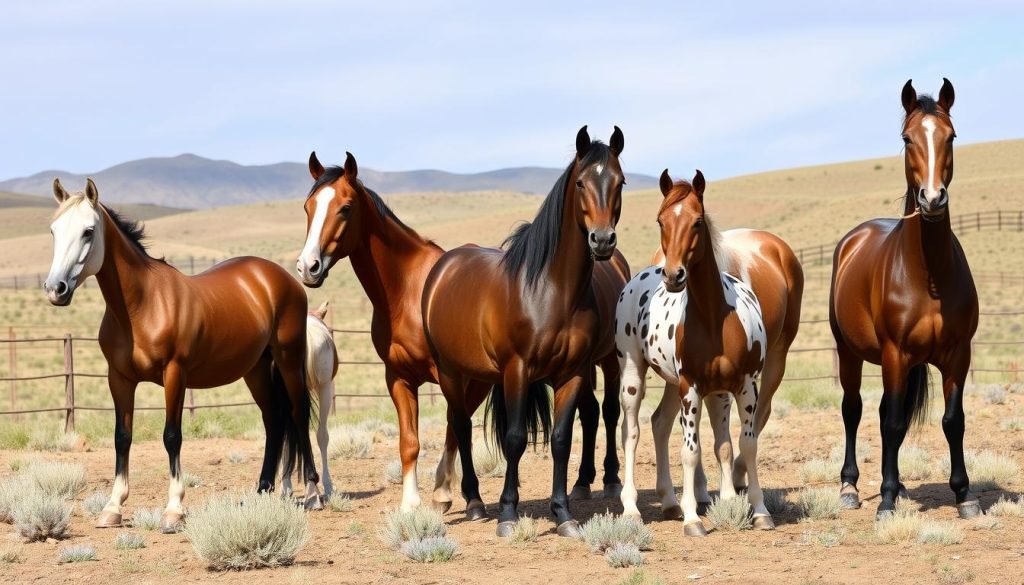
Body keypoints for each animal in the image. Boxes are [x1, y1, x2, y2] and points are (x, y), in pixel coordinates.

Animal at [43, 179, 322, 532]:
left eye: (88, 232)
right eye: (54, 230)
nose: (56, 289)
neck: (142, 306)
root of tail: (282, 277)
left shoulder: (174, 374)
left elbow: (172, 436)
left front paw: (174, 509)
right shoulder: (119, 378)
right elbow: (122, 437)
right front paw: (112, 507)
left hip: (288, 358)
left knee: (298, 413)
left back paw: (313, 493)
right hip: (256, 369)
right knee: (273, 420)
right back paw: (262, 490)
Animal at [295, 150, 627, 512]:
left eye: (345, 207)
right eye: (307, 207)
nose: (308, 267)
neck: (408, 290)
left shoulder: (465, 377)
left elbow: (456, 426)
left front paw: (448, 490)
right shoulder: (397, 376)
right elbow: (411, 440)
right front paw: (412, 501)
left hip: (606, 360)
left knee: (608, 411)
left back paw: (609, 479)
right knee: (590, 412)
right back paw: (582, 482)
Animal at [421, 126, 628, 537]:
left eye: (620, 182)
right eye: (580, 182)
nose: (602, 240)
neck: (550, 291)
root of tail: (444, 266)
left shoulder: (572, 373)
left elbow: (561, 439)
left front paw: (563, 514)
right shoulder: (516, 369)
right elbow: (514, 438)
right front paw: (507, 514)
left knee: (604, 412)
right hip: (451, 371)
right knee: (461, 426)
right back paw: (474, 502)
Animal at [619, 171, 803, 523]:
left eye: (697, 221)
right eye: (661, 220)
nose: (673, 275)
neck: (713, 317)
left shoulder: (737, 385)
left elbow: (735, 443)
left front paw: (744, 504)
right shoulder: (693, 386)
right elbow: (694, 448)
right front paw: (699, 507)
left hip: (771, 359)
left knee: (662, 423)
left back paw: (672, 500)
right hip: (635, 372)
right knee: (633, 429)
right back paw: (634, 506)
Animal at [829, 78, 980, 519]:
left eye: (951, 135)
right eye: (907, 137)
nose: (932, 199)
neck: (927, 275)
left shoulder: (958, 355)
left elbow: (952, 421)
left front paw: (964, 495)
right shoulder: (895, 352)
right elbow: (893, 424)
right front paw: (886, 500)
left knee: (882, 413)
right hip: (851, 352)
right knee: (854, 410)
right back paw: (850, 487)